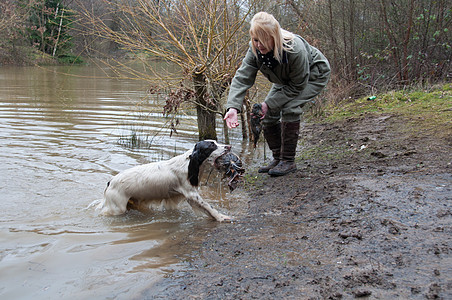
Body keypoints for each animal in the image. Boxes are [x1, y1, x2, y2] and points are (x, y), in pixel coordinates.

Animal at [92, 139, 233, 221]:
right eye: (212, 145)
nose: (229, 146)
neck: (187, 164)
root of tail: (110, 182)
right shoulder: (191, 194)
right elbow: (209, 207)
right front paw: (222, 217)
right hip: (117, 208)